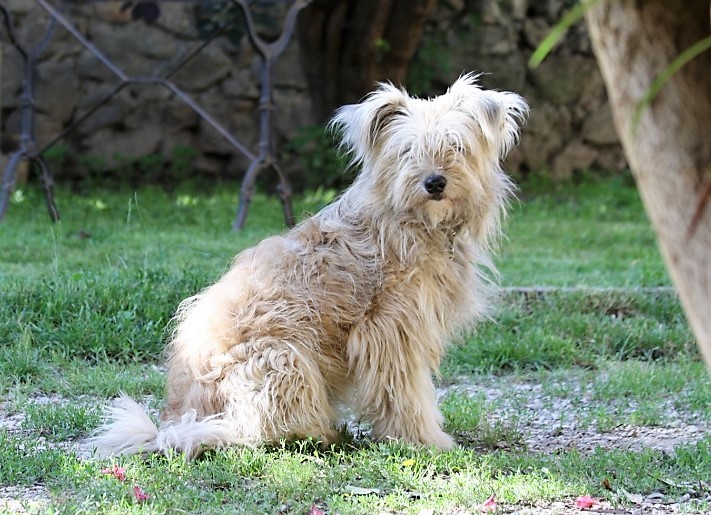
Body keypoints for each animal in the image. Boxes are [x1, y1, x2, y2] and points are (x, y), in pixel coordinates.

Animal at [90, 73, 528, 460]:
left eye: (457, 146)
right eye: (406, 151)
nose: (434, 183)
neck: (411, 222)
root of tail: (177, 417)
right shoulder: (391, 332)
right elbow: (406, 394)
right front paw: (423, 439)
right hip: (283, 357)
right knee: (255, 432)